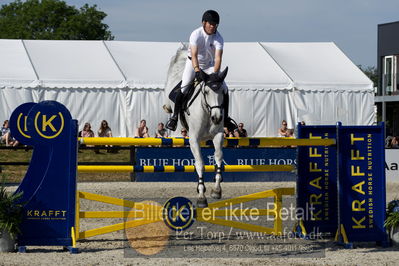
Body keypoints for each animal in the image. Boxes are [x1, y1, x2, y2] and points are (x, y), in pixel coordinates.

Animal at [163, 45, 228, 208]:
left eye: (222, 92)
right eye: (206, 91)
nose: (217, 117)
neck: (207, 110)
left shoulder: (218, 136)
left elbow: (218, 158)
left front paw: (216, 190)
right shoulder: (194, 139)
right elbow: (200, 164)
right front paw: (201, 196)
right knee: (170, 103)